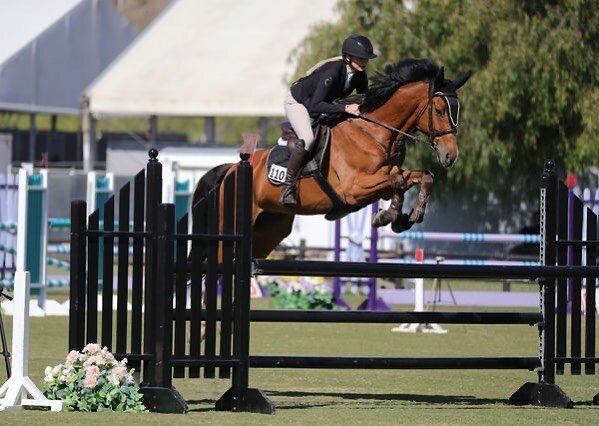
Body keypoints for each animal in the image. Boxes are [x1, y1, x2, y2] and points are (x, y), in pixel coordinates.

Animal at [195, 57, 472, 258]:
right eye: (439, 110)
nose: (450, 156)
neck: (376, 133)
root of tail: (230, 169)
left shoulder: (385, 176)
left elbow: (420, 177)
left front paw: (404, 217)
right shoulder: (354, 189)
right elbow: (399, 181)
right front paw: (389, 216)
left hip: (269, 230)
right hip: (229, 229)